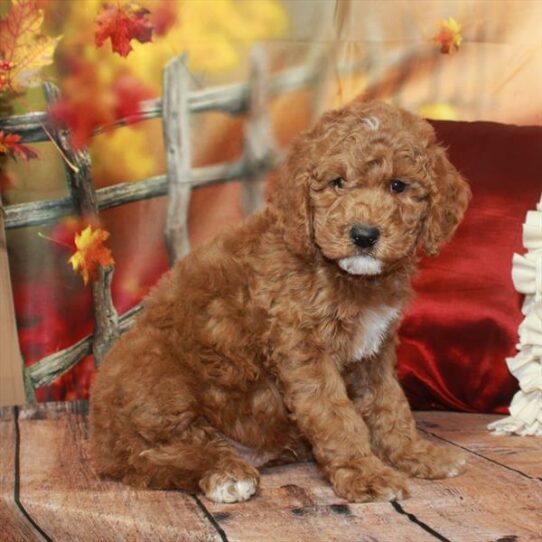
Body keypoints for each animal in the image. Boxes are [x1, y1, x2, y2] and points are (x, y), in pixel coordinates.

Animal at [89, 101, 472, 506]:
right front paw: (366, 474)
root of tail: (99, 432)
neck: (348, 278)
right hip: (157, 373)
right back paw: (226, 473)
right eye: (337, 183)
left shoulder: (374, 353)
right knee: (149, 457)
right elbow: (337, 416)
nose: (364, 235)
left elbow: (390, 406)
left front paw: (419, 455)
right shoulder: (303, 350)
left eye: (398, 186)